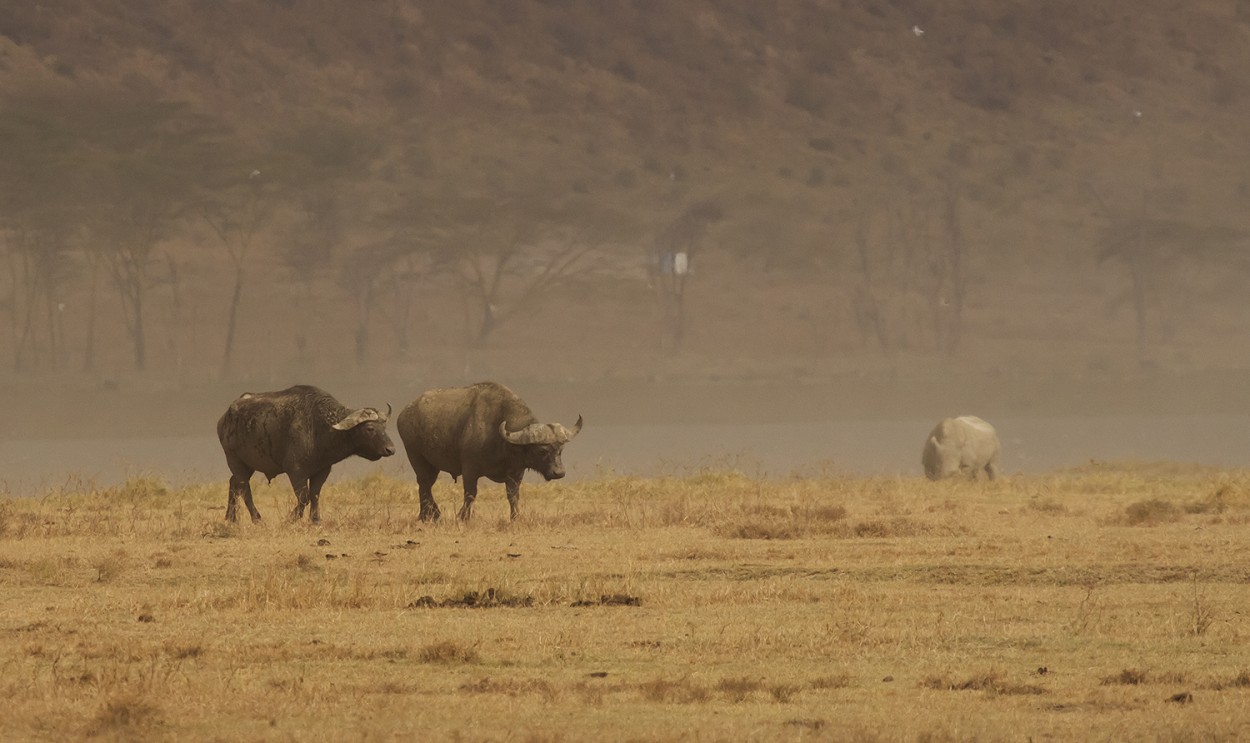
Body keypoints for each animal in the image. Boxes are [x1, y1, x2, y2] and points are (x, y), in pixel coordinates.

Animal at [217, 385, 395, 522]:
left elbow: (314, 495)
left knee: (234, 483)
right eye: (370, 428)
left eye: (384, 427)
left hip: (248, 465)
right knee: (243, 487)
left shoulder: (322, 471)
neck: (319, 427)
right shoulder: (295, 471)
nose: (391, 449)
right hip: (234, 459)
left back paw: (231, 518)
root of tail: (224, 419)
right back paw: (257, 518)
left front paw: (315, 520)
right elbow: (304, 497)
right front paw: (291, 518)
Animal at [395, 382, 580, 520]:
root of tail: (403, 414)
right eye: (541, 450)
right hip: (416, 457)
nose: (559, 473)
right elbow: (471, 494)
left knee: (424, 487)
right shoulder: (469, 469)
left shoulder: (515, 473)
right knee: (424, 484)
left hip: (433, 466)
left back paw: (426, 516)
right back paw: (432, 515)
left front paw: (515, 517)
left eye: (560, 450)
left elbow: (513, 496)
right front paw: (463, 517)